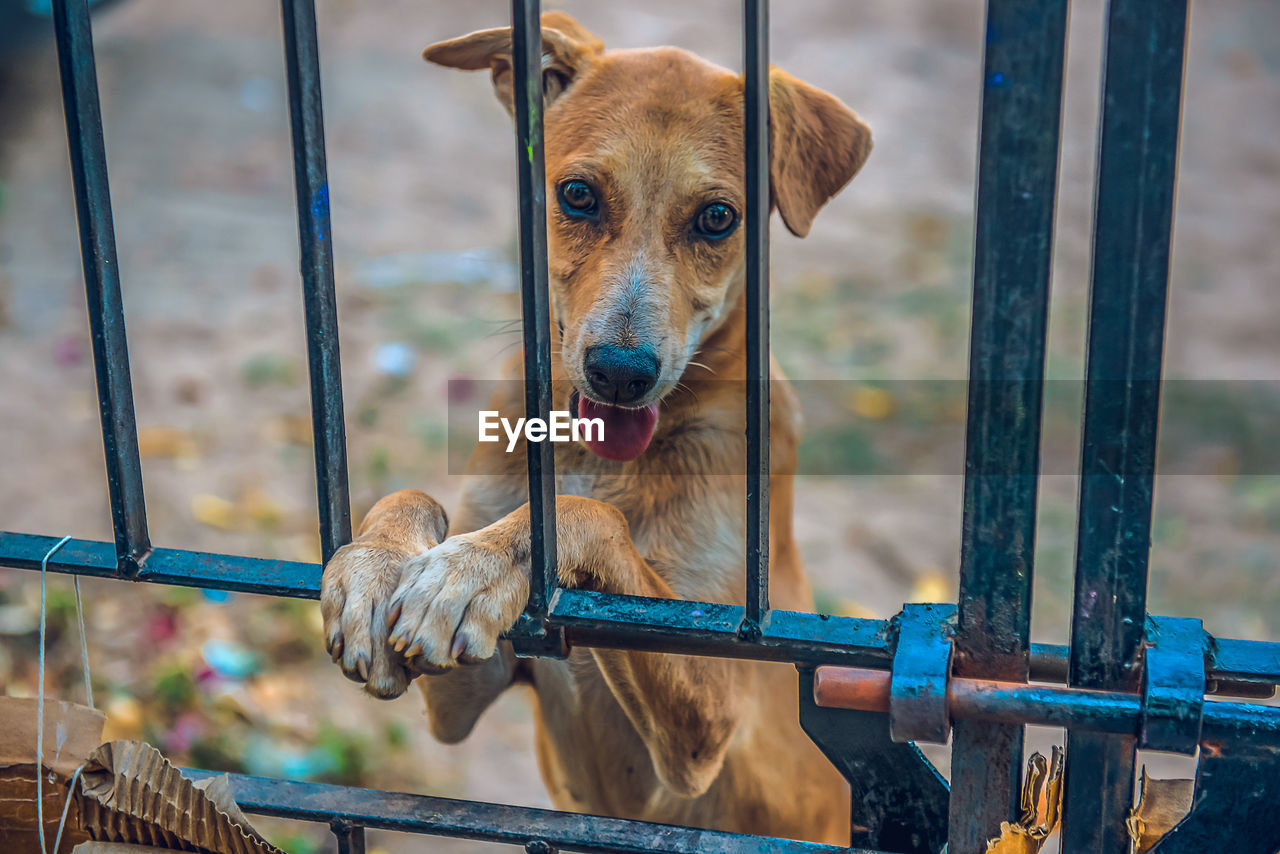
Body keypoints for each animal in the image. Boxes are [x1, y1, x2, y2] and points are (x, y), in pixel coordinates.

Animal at [322, 15, 870, 850]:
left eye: (718, 217)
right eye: (577, 195)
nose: (619, 372)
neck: (597, 459)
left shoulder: (707, 723)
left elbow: (591, 518)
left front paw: (474, 567)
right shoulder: (466, 694)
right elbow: (414, 496)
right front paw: (375, 564)